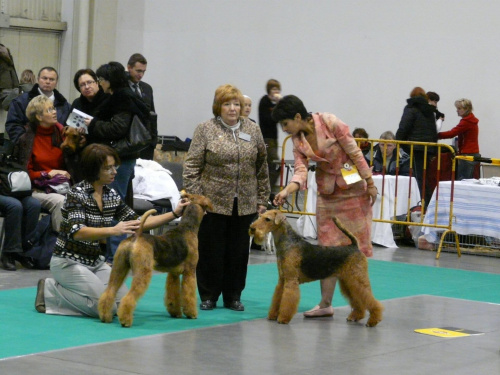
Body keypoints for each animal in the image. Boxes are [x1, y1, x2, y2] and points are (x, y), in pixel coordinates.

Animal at [98, 192, 212, 328]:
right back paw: (126, 320)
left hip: (119, 268)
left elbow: (173, 294)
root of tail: (136, 237)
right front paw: (191, 313)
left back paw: (105, 316)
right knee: (129, 297)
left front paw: (175, 312)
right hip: (143, 271)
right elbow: (188, 294)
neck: (187, 228)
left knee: (109, 292)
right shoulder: (190, 272)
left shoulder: (173, 274)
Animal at [249, 210, 382, 328]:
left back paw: (373, 320)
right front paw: (272, 315)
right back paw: (356, 316)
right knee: (358, 300)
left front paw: (283, 318)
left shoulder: (291, 281)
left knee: (370, 299)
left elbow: (287, 300)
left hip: (356, 278)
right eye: (260, 216)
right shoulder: (282, 280)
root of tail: (354, 246)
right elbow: (277, 299)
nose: (252, 228)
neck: (288, 244)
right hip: (348, 281)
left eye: (267, 219)